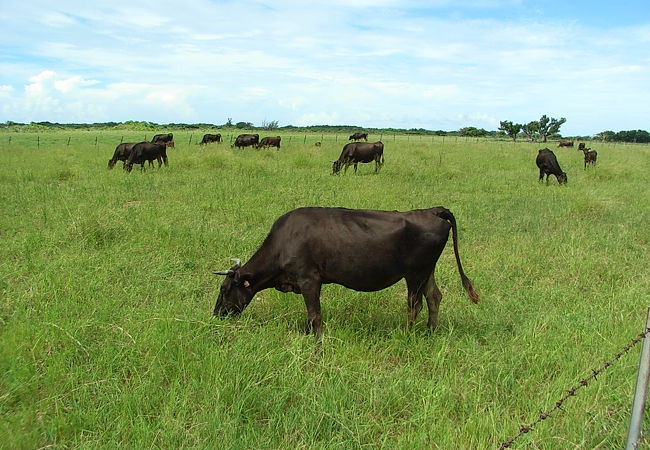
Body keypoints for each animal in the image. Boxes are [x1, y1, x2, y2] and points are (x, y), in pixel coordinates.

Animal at [211, 205, 476, 338]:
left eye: (224, 290)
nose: (216, 315)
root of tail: (432, 210)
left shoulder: (309, 279)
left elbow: (314, 314)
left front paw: (315, 342)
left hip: (415, 273)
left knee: (415, 304)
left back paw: (408, 334)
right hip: (427, 271)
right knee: (434, 297)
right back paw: (430, 332)